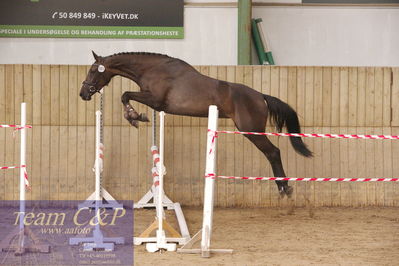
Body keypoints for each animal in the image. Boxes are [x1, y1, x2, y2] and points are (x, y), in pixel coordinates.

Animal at [80, 52, 312, 197]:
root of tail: (261, 96)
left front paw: (135, 117)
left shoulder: (155, 100)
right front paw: (136, 116)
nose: (83, 94)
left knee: (273, 152)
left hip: (251, 130)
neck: (153, 70)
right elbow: (126, 95)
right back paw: (284, 187)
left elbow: (125, 95)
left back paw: (284, 188)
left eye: (92, 70)